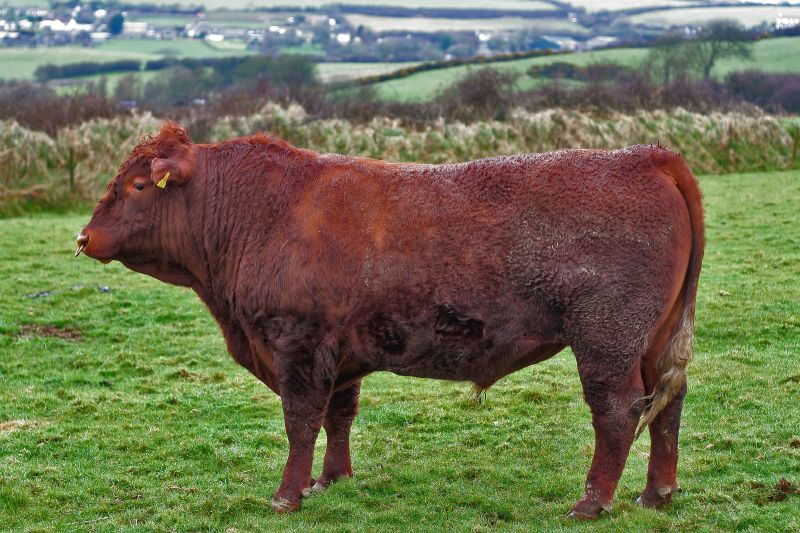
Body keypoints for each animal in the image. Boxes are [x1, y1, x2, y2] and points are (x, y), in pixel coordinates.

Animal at [76, 122, 704, 519]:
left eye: (137, 185)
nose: (84, 237)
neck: (260, 211)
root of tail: (644, 156)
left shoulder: (298, 345)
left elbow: (300, 421)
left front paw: (287, 494)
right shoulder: (339, 353)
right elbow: (338, 416)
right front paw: (330, 479)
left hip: (606, 342)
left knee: (618, 414)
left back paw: (592, 502)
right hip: (653, 341)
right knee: (668, 403)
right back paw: (657, 494)